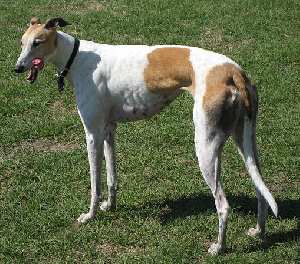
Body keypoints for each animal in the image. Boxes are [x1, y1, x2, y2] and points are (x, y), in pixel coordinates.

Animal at [14, 17, 276, 255]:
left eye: (37, 43)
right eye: (22, 42)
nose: (16, 68)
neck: (77, 58)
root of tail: (234, 71)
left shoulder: (92, 134)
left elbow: (95, 183)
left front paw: (90, 215)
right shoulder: (108, 130)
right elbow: (111, 177)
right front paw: (110, 206)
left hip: (206, 147)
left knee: (223, 204)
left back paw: (218, 247)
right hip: (245, 142)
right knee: (260, 188)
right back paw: (258, 231)